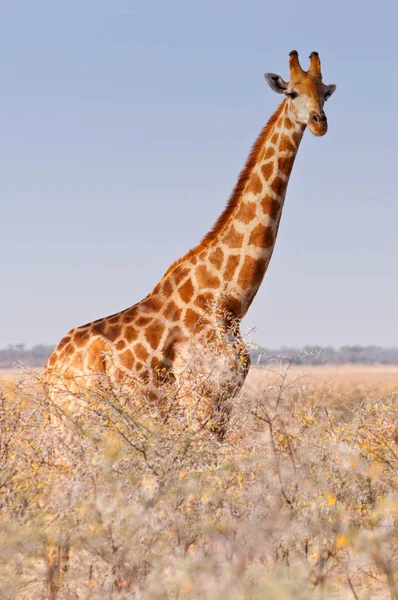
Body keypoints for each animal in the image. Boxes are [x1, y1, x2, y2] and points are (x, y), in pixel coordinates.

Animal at [44, 51, 336, 596]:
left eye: (324, 92)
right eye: (292, 92)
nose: (319, 122)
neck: (230, 297)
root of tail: (50, 369)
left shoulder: (223, 403)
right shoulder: (199, 398)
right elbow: (202, 490)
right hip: (75, 423)